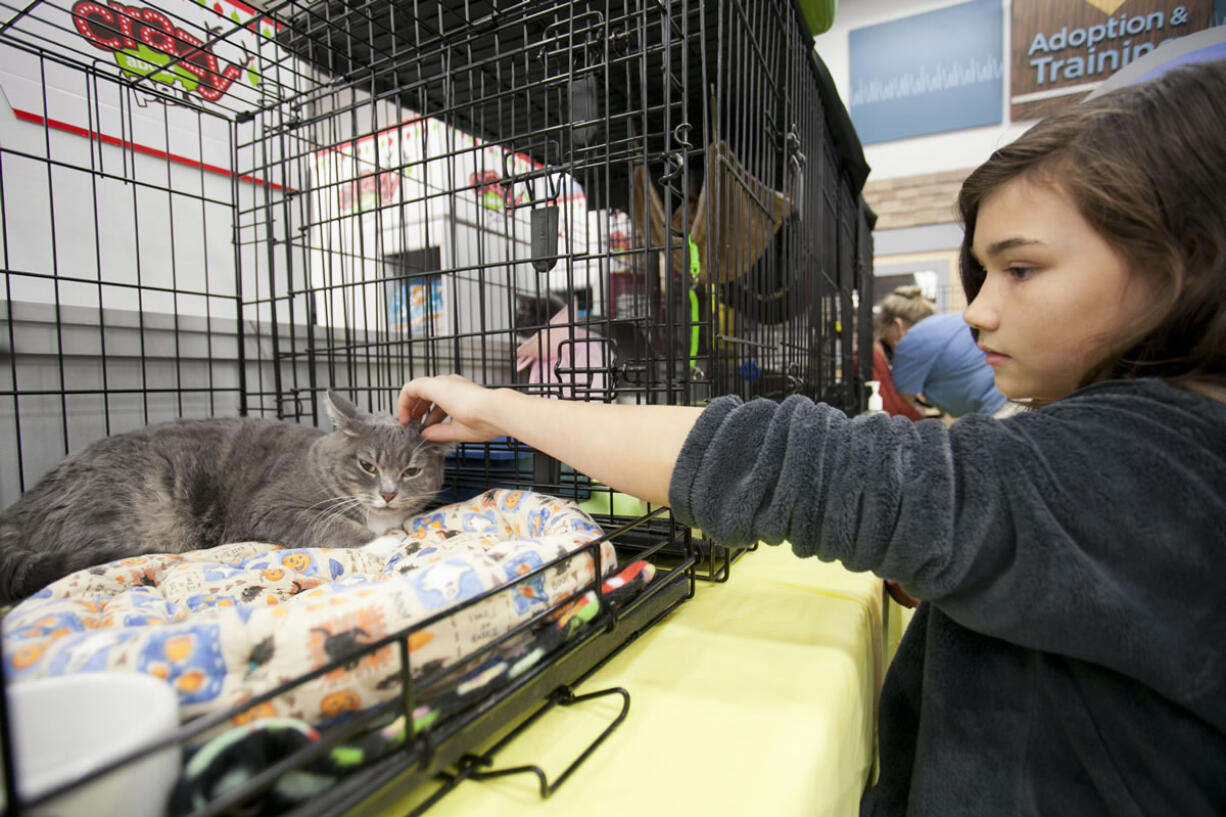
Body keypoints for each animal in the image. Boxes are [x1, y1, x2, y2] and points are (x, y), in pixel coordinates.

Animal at [0, 392, 448, 601]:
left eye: (411, 471)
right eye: (367, 466)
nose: (387, 494)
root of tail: (18, 510)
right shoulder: (269, 507)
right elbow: (332, 524)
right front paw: (384, 541)